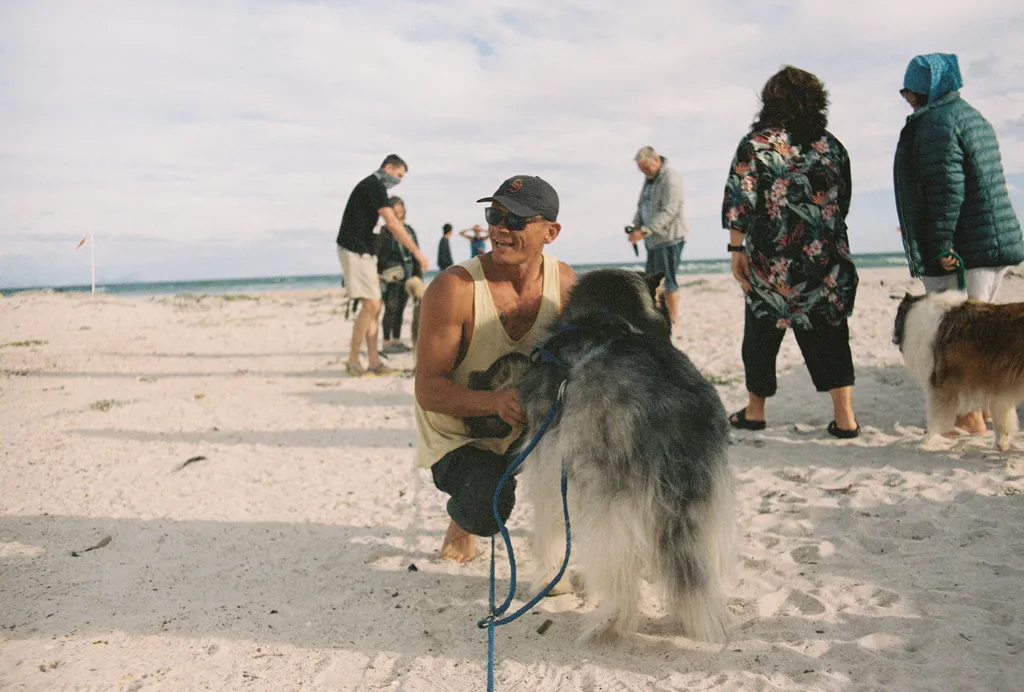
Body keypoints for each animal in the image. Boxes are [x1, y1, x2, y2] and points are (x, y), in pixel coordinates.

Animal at [471, 268, 737, 642]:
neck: (606, 319)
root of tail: (674, 406)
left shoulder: (549, 466)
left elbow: (552, 530)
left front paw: (554, 584)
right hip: (701, 500)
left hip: (606, 496)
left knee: (618, 568)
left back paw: (612, 620)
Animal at [888, 290, 1024, 448]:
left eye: (897, 317)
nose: (893, 339)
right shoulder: (999, 390)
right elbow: (1002, 419)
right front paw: (1001, 442)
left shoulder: (940, 384)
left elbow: (934, 419)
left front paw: (926, 440)